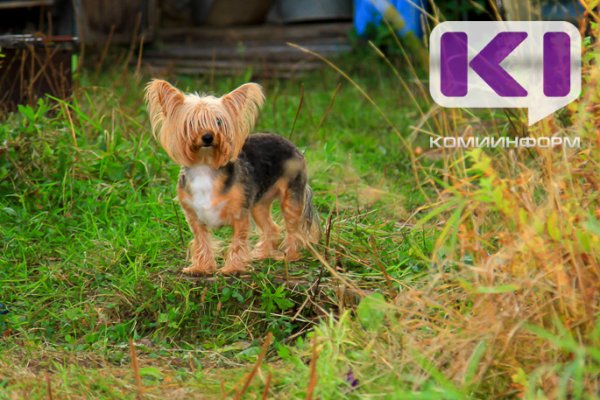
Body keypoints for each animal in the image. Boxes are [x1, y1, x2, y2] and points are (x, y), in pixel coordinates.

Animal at [145, 81, 318, 276]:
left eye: (219, 122)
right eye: (191, 123)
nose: (208, 136)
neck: (205, 166)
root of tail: (293, 145)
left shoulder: (240, 214)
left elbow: (238, 242)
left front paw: (233, 268)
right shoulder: (194, 217)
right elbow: (202, 240)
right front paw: (201, 267)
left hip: (291, 198)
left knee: (294, 228)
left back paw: (289, 255)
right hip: (259, 204)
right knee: (271, 227)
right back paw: (262, 254)